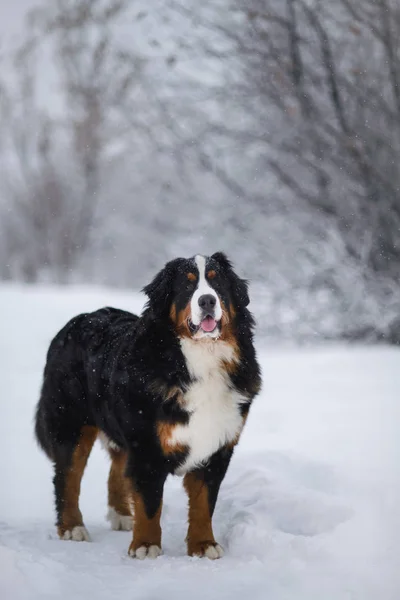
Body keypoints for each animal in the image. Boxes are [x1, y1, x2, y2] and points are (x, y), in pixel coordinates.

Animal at [33, 251, 260, 560]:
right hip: (71, 424)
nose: (207, 301)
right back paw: (71, 527)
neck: (199, 360)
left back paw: (121, 516)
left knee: (116, 470)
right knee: (67, 477)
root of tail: (79, 320)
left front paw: (203, 545)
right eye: (187, 285)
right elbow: (150, 502)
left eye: (218, 283)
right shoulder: (146, 445)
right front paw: (146, 545)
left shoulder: (217, 446)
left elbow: (204, 504)